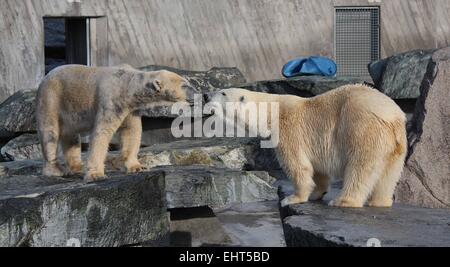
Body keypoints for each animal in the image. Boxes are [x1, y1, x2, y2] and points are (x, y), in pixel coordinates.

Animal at [36, 64, 195, 182]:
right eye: (184, 85)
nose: (196, 94)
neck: (128, 84)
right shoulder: (112, 101)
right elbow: (102, 134)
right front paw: (96, 175)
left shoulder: (130, 108)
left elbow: (131, 132)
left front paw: (137, 167)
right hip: (52, 98)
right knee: (50, 133)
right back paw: (56, 170)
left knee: (71, 137)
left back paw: (78, 167)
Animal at [207, 85, 408, 208]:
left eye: (223, 93)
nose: (206, 95)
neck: (270, 112)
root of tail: (392, 117)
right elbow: (317, 168)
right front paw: (317, 193)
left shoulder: (289, 129)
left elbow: (298, 165)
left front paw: (292, 199)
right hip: (396, 143)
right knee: (389, 174)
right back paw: (380, 201)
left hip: (362, 128)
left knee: (360, 167)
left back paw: (342, 201)